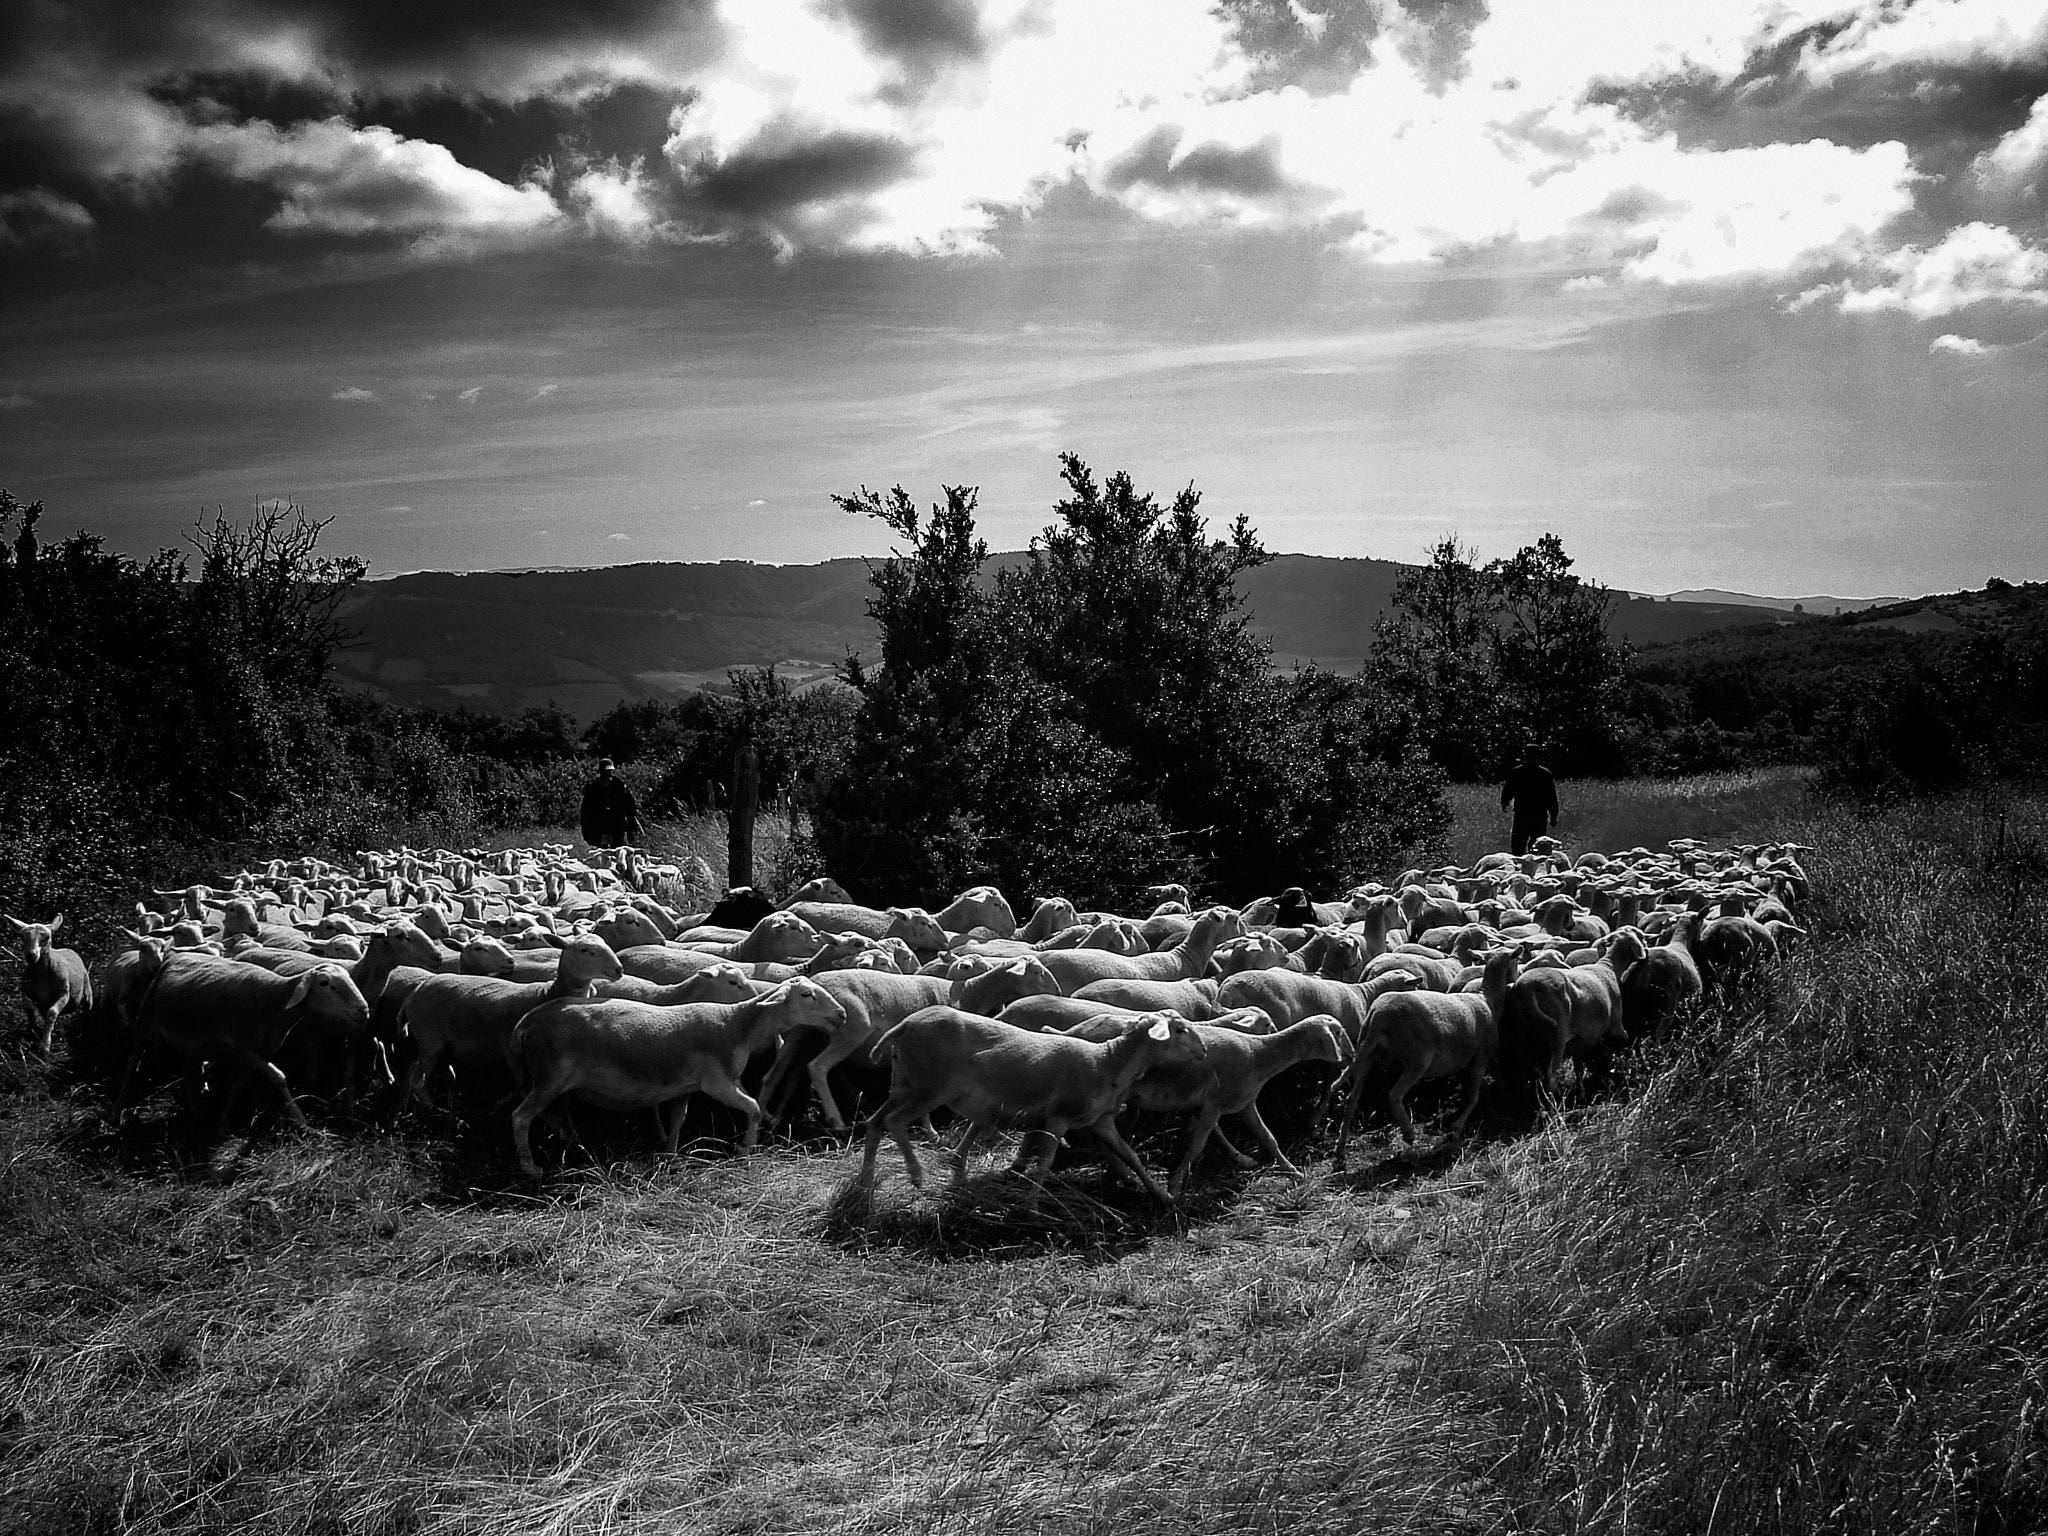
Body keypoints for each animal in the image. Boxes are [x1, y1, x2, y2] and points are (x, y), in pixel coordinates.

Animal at [5, 913, 93, 1056]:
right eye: (22, 937)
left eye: (47, 937)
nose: (31, 955)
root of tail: (68, 949)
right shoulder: (25, 991)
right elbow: (29, 1009)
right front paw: (33, 1032)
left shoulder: (64, 994)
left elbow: (51, 1014)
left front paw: (45, 1046)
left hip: (87, 991)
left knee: (87, 1009)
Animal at [507, 987, 851, 1179]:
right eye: (806, 995)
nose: (842, 1014)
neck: (736, 1025)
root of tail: (527, 1022)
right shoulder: (717, 1083)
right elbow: (752, 1107)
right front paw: (745, 1148)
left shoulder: (688, 1087)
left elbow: (678, 1119)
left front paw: (671, 1156)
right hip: (549, 1077)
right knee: (520, 1117)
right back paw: (530, 1167)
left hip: (552, 1082)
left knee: (556, 1115)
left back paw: (575, 1145)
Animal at [856, 1011, 1204, 1212]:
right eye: (1180, 1030)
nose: (1203, 1051)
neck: (1108, 1062)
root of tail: (903, 1026)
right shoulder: (1058, 1118)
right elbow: (1045, 1162)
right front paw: (1032, 1205)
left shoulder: (1100, 1121)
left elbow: (1130, 1155)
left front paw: (1161, 1195)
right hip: (930, 1086)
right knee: (894, 1121)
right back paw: (916, 1175)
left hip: (904, 1084)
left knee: (875, 1123)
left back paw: (865, 1185)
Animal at [1327, 950, 1523, 1163]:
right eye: (1516, 959)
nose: (1517, 978)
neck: (1488, 999)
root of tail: (1378, 1016)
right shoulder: (1482, 1054)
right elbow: (1474, 1094)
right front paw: (1456, 1128)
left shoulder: (1464, 1061)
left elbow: (1480, 1091)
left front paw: (1490, 1114)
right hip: (1417, 1060)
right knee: (1394, 1095)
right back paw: (1408, 1133)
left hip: (1367, 1053)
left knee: (1351, 1100)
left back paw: (1340, 1150)